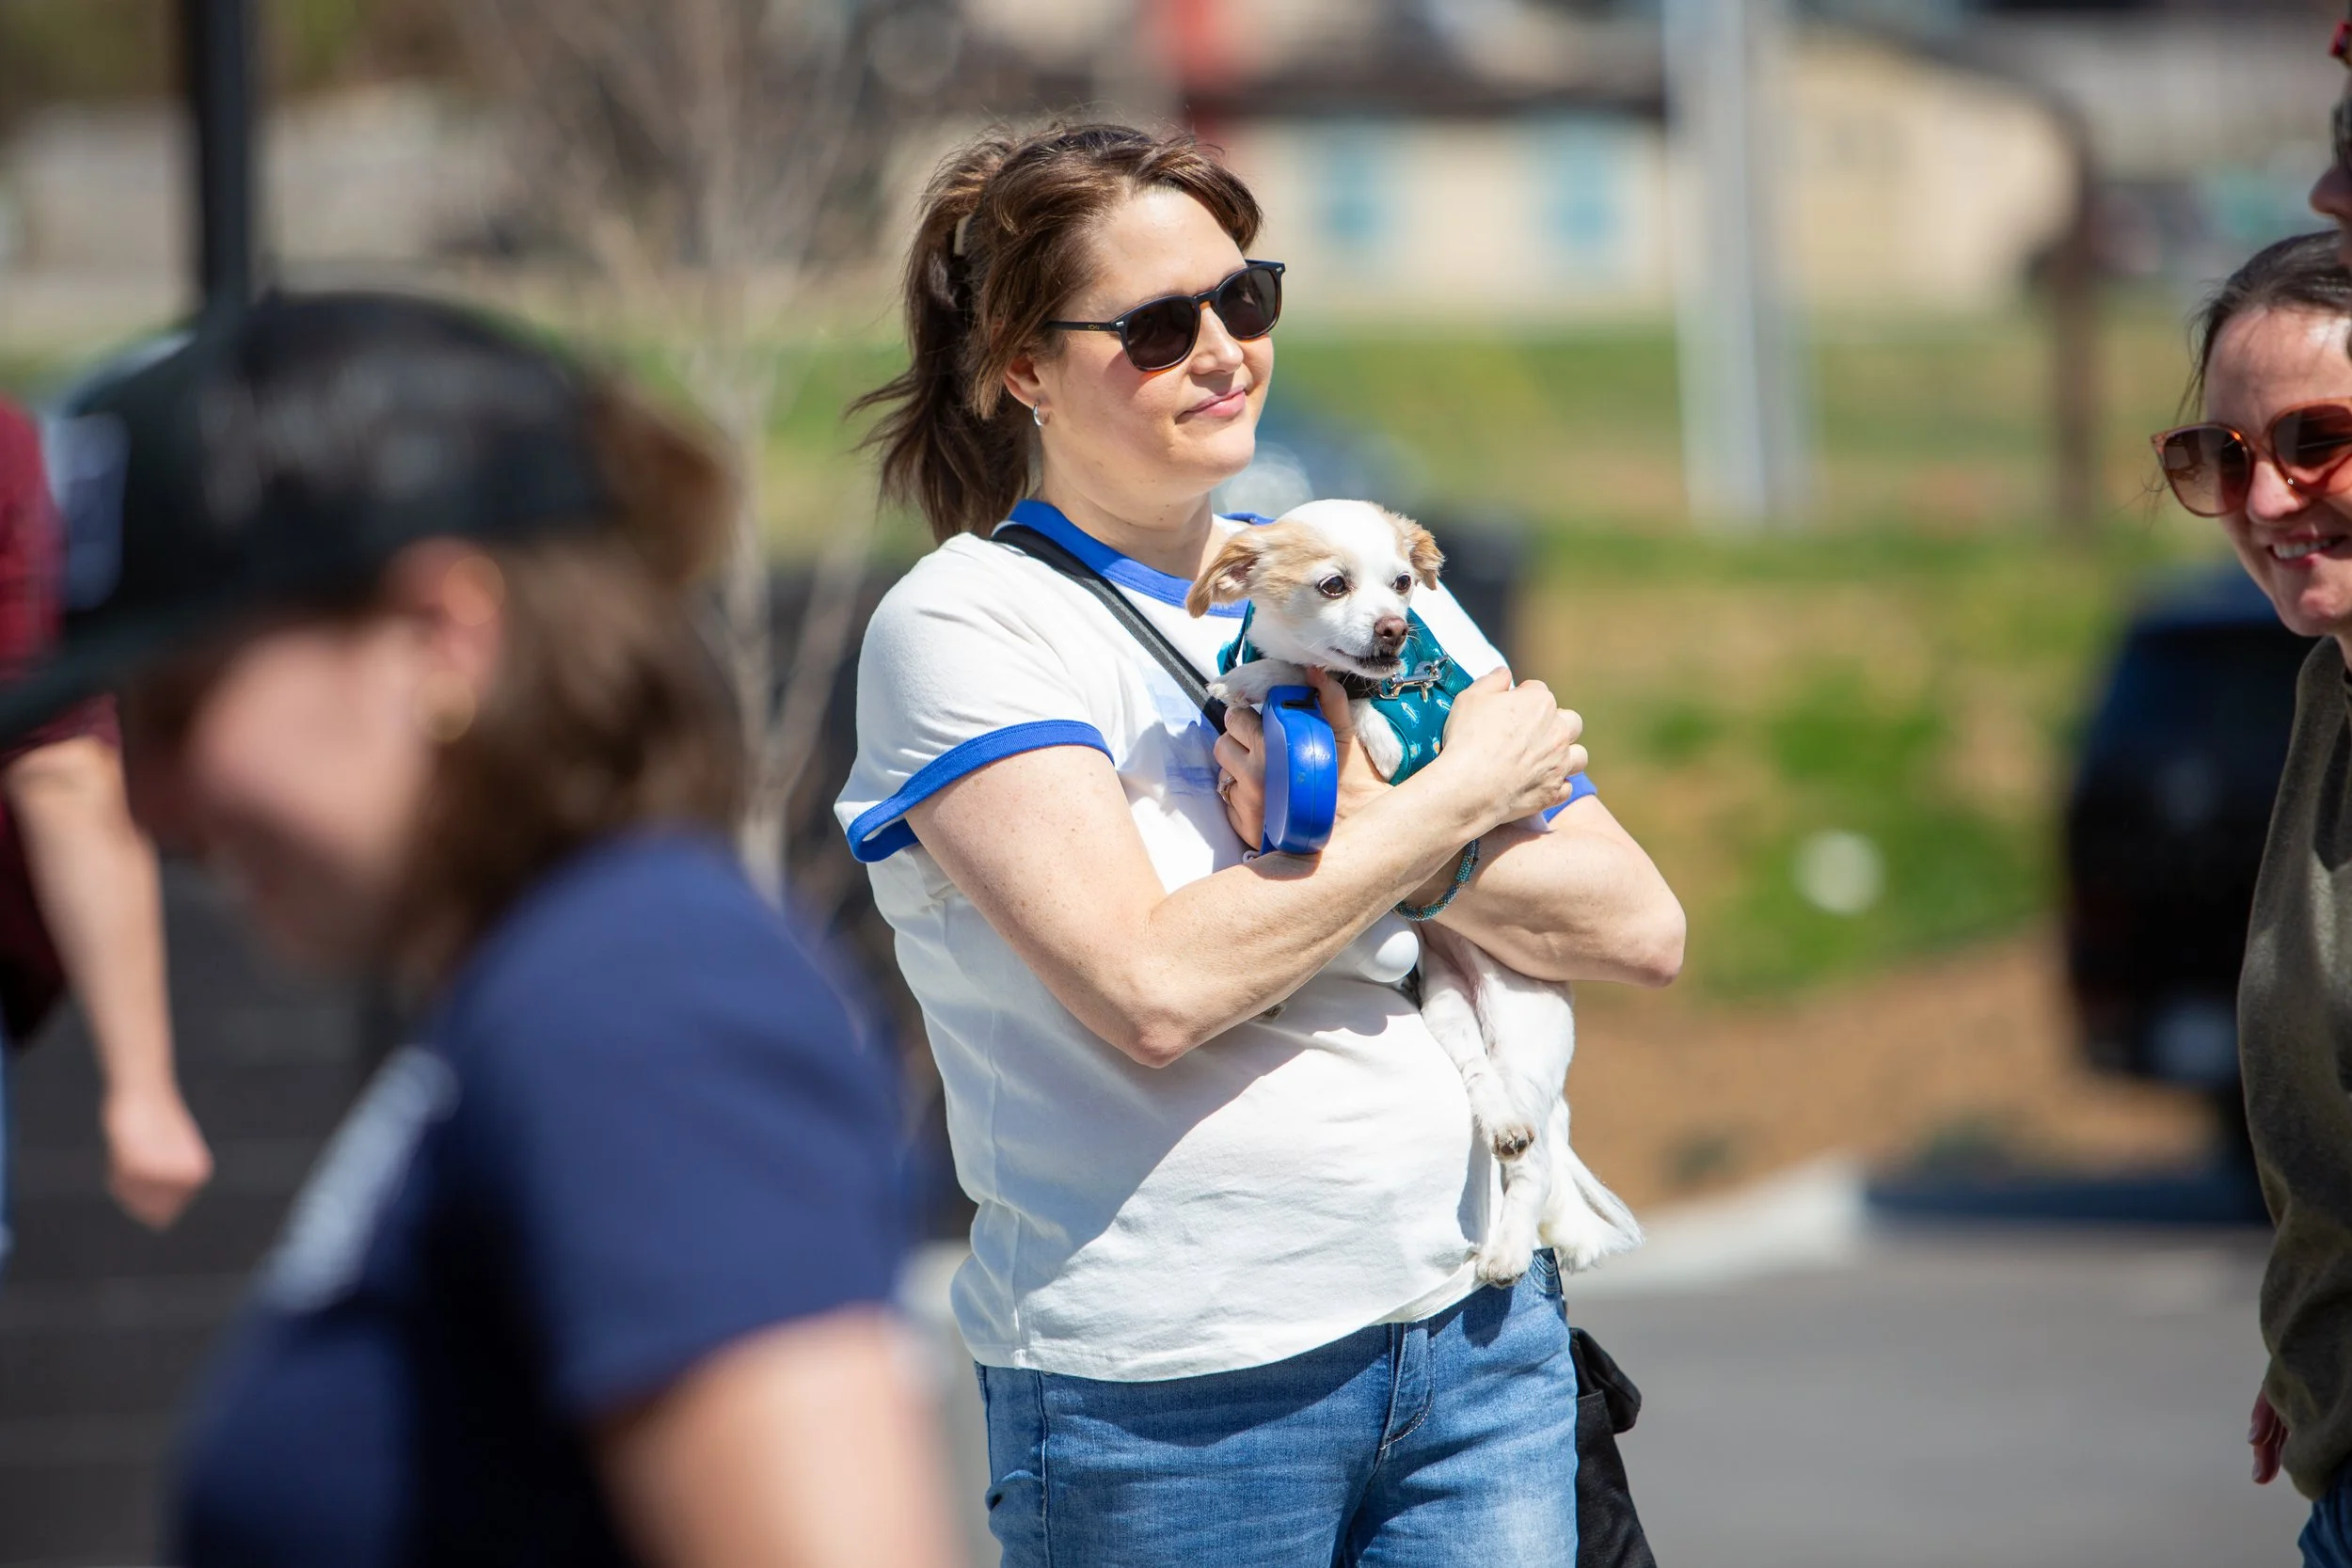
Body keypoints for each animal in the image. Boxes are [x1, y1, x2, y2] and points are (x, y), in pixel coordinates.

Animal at [1186, 499, 1642, 1284]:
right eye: (1333, 584)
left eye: (1403, 583)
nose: (1395, 629)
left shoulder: (1408, 750)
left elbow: (1323, 686)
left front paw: (1260, 677)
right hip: (1449, 1003)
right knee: (1484, 1085)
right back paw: (1503, 1126)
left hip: (1520, 1018)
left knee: (1534, 1170)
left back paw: (1509, 1249)